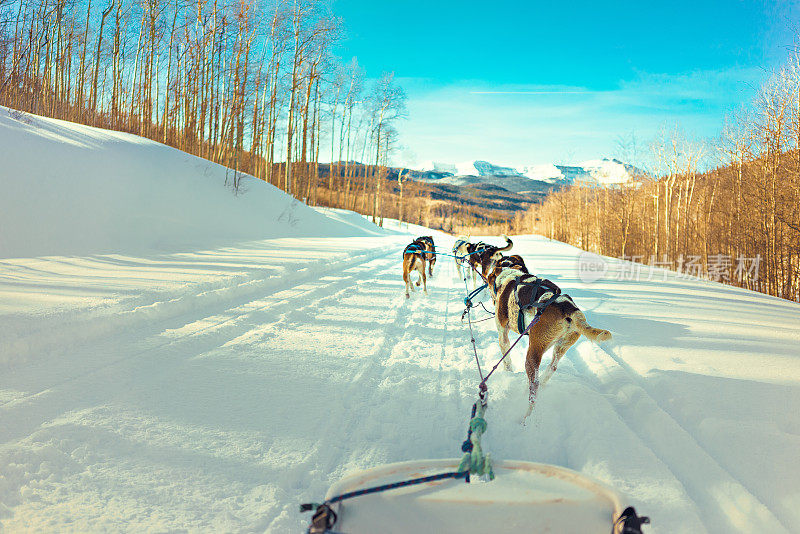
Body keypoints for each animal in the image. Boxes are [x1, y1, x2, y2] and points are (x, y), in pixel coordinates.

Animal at [494, 272, 612, 422]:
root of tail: (569, 308)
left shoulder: (502, 334)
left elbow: (506, 359)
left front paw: (508, 373)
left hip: (533, 353)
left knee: (534, 387)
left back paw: (526, 417)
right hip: (560, 346)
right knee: (551, 368)